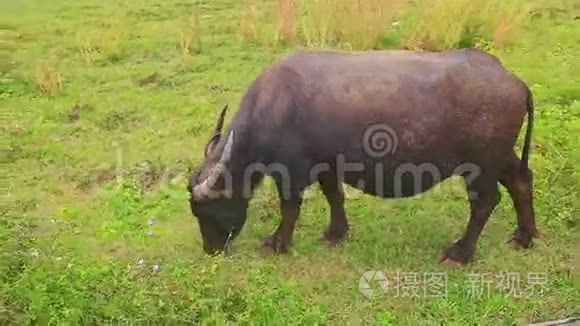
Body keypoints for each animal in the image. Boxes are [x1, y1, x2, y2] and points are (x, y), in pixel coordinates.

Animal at [186, 49, 536, 268]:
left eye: (208, 210)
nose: (211, 250)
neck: (274, 108)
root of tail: (514, 81)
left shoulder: (292, 172)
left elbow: (290, 209)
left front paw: (277, 243)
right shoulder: (328, 165)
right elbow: (335, 196)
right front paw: (335, 233)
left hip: (480, 165)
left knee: (485, 201)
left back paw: (460, 253)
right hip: (501, 156)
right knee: (520, 182)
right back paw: (524, 237)